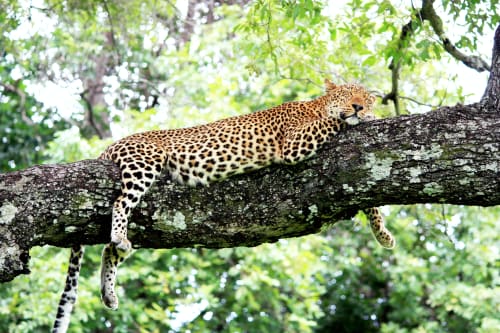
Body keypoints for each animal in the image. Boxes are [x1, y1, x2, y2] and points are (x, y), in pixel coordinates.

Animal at [50, 80, 394, 332]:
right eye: (348, 94)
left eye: (366, 97)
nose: (359, 105)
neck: (315, 104)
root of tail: (112, 144)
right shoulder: (294, 143)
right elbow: (332, 122)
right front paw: (364, 118)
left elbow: (370, 201)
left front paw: (383, 235)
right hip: (144, 163)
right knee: (121, 204)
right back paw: (119, 237)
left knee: (109, 250)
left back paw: (109, 291)